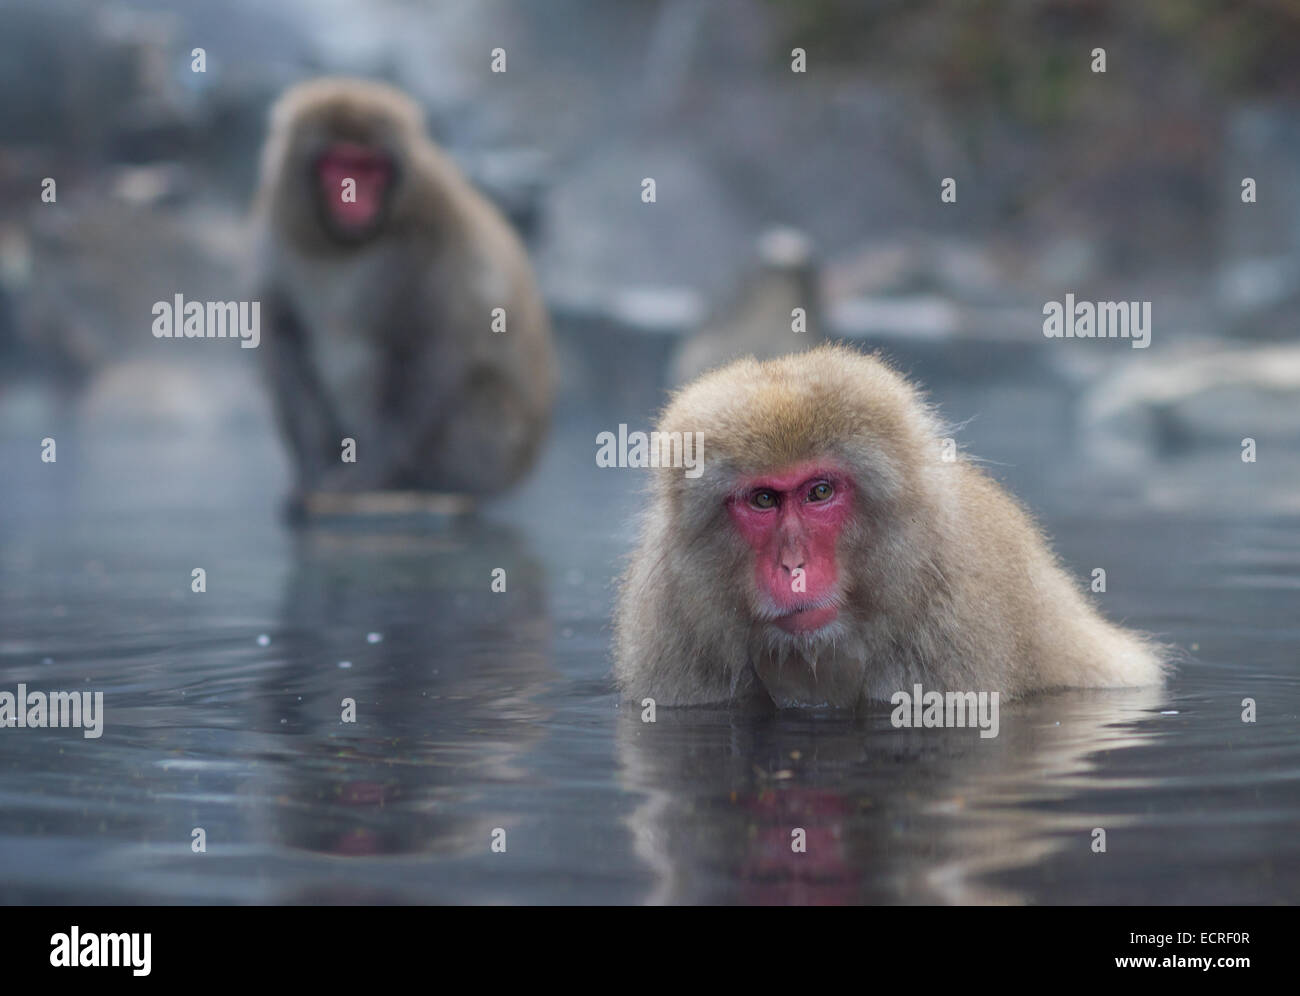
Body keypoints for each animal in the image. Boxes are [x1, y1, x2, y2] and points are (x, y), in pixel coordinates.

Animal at [249, 77, 553, 514]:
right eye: (339, 165)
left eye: (370, 168)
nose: (353, 196)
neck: (344, 245)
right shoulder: (274, 226)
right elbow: (285, 340)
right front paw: (312, 471)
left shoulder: (439, 238)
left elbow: (428, 352)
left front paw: (363, 477)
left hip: (497, 451)